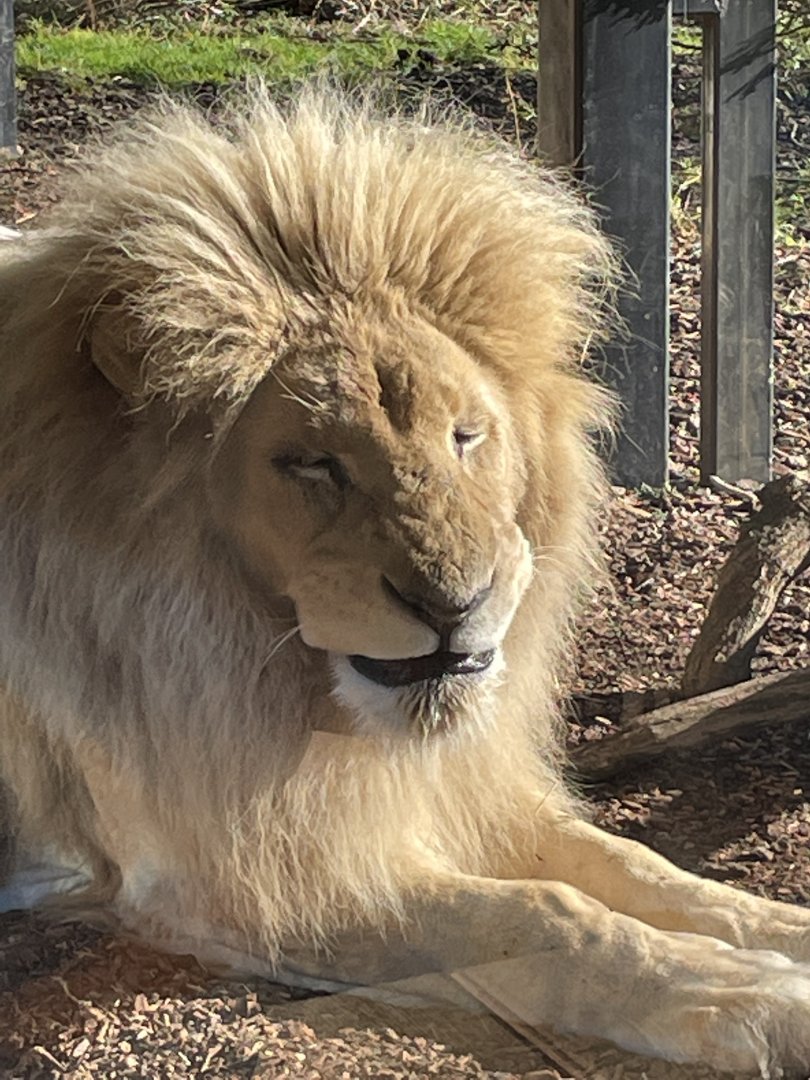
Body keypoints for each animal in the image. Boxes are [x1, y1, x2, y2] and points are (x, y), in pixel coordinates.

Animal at [1, 89, 809, 1076]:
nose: (455, 606)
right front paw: (760, 997)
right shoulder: (233, 876)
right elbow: (543, 917)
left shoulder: (460, 787)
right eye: (312, 463)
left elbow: (637, 867)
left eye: (466, 436)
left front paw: (780, 936)